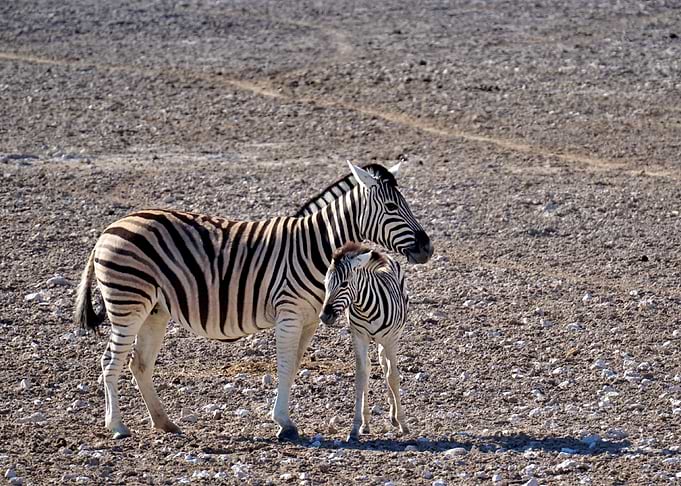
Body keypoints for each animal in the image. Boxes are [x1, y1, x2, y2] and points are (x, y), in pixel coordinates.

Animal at [319, 242, 410, 441]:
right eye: (325, 284)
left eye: (344, 284)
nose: (324, 316)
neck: (366, 308)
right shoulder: (359, 336)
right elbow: (361, 376)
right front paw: (356, 426)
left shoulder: (390, 339)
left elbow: (393, 376)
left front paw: (403, 423)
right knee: (372, 367)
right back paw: (367, 423)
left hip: (392, 337)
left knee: (387, 369)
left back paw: (394, 416)